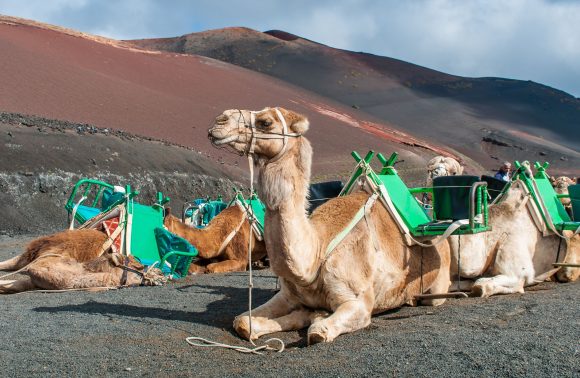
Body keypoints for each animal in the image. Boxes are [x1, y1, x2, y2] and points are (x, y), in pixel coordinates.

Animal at [208, 107, 454, 346]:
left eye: (266, 122)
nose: (219, 120)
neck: (317, 252)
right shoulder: (286, 296)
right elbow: (242, 321)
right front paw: (303, 315)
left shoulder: (359, 303)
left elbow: (318, 331)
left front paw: (315, 319)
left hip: (438, 283)